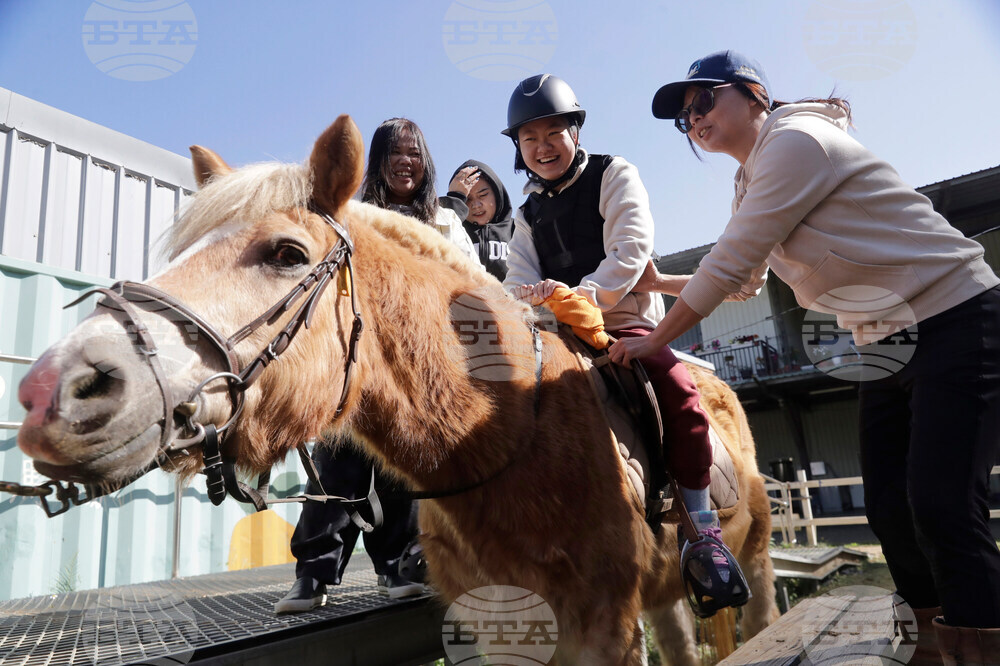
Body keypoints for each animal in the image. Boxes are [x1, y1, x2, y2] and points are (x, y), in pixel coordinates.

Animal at [16, 116, 779, 665]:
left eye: (287, 254)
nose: (55, 391)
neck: (512, 437)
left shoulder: (601, 625)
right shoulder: (499, 627)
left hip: (758, 558)